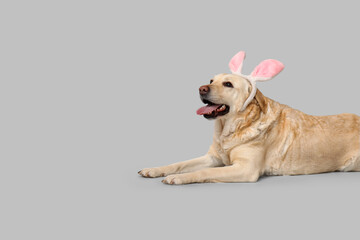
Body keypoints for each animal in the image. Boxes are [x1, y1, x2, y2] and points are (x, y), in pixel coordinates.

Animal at [138, 51, 360, 185]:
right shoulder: (213, 157)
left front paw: (178, 177)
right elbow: (180, 163)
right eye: (211, 80)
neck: (232, 128)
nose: (201, 88)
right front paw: (156, 170)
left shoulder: (245, 169)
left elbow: (204, 173)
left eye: (228, 84)